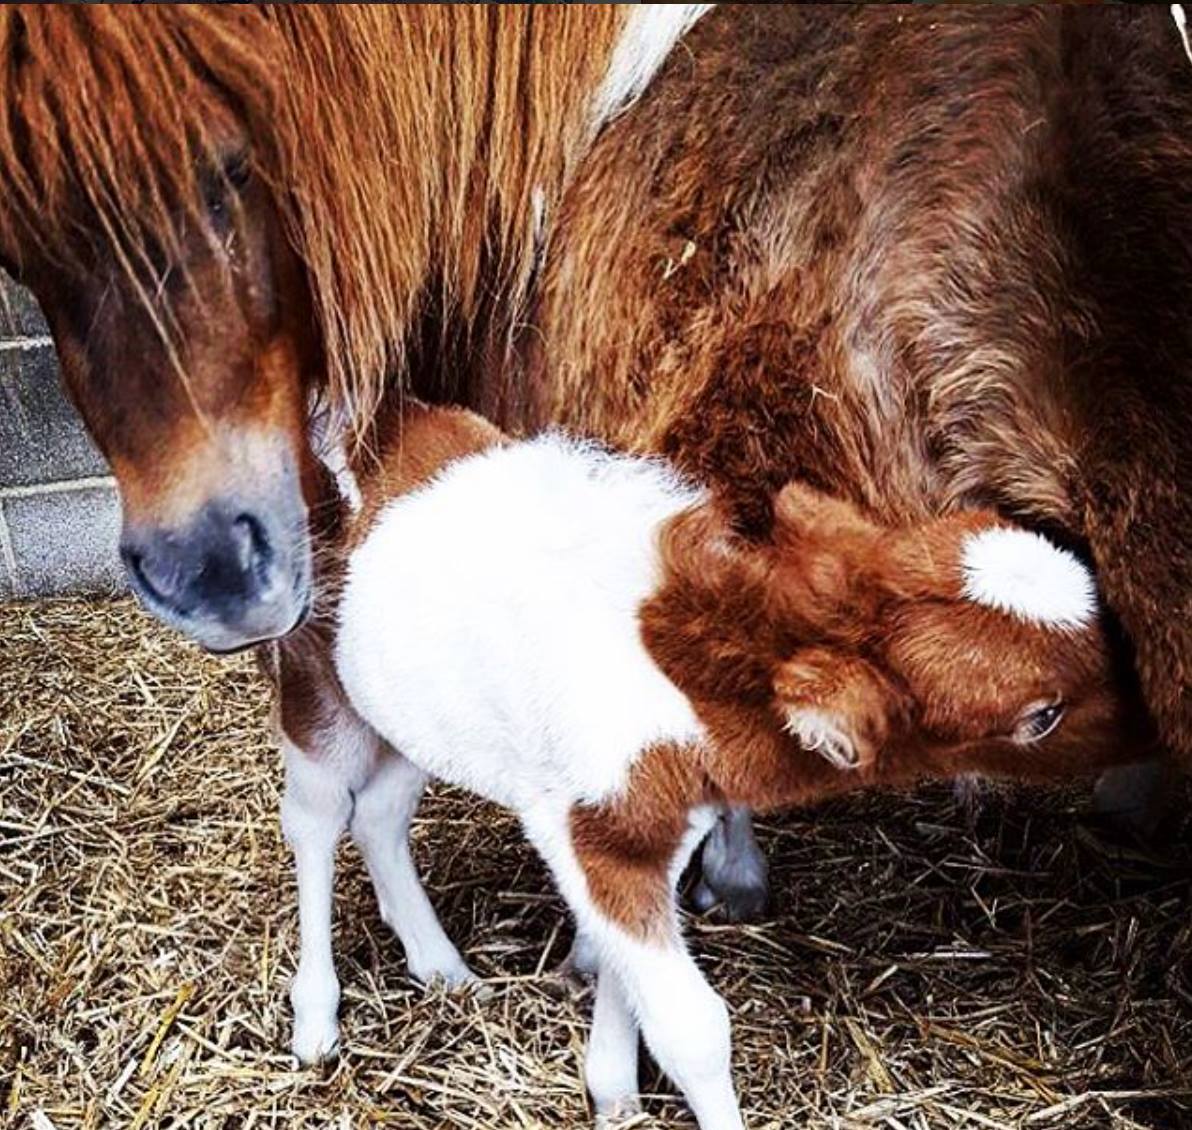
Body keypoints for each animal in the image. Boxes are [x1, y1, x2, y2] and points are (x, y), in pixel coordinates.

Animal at [276, 402, 1134, 1130]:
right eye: (1041, 714)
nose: (1146, 711)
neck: (692, 660)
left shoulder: (657, 836)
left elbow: (623, 972)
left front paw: (613, 1090)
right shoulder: (597, 840)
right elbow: (693, 1027)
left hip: (406, 708)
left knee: (381, 813)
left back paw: (442, 967)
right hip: (316, 682)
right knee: (317, 819)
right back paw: (316, 1019)